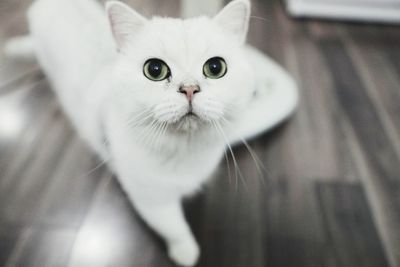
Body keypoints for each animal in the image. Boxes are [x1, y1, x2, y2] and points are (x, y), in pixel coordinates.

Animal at [4, 0, 298, 266]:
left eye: (216, 67)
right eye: (154, 70)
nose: (189, 88)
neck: (184, 151)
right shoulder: (151, 198)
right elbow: (174, 227)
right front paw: (186, 253)